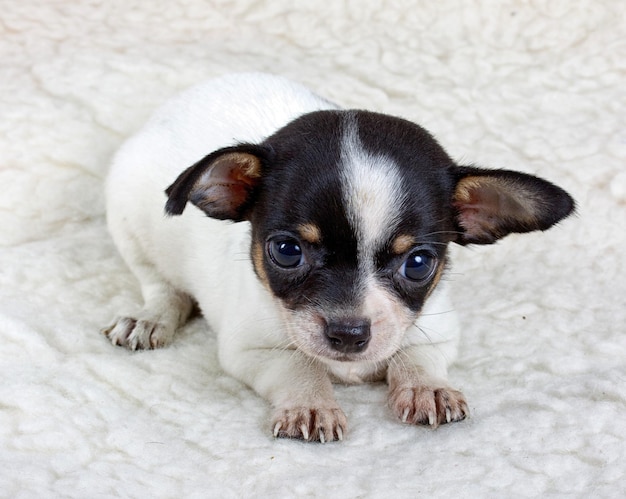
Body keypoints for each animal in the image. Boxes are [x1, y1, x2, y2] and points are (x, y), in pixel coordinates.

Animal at [101, 73, 572, 442]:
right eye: (287, 252)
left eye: (418, 264)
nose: (348, 334)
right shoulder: (251, 349)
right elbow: (297, 365)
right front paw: (311, 404)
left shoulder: (438, 331)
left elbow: (415, 354)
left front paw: (426, 388)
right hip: (128, 220)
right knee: (161, 285)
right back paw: (150, 317)